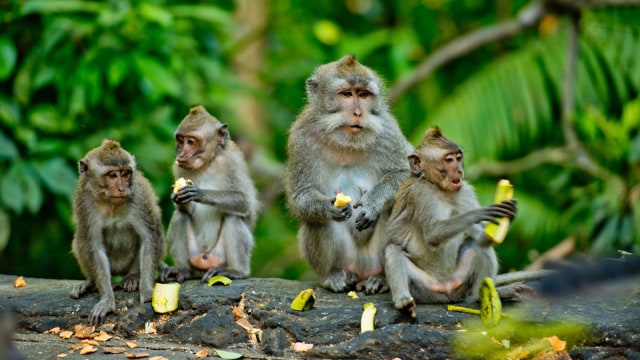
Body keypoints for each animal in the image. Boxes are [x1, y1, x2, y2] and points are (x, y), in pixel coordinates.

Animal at [70, 139, 165, 324]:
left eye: (126, 174)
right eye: (112, 175)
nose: (122, 188)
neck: (110, 203)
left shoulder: (139, 197)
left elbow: (149, 237)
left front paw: (147, 291)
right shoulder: (85, 202)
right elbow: (94, 247)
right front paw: (106, 301)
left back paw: (132, 278)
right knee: (81, 240)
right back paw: (90, 282)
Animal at [159, 105, 258, 282]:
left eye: (191, 141)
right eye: (180, 140)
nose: (181, 154)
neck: (207, 164)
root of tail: (205, 258)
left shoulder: (232, 161)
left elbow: (244, 201)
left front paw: (199, 193)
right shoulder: (178, 168)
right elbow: (182, 210)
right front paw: (177, 198)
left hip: (219, 255)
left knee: (233, 217)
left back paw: (235, 271)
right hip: (195, 255)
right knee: (180, 216)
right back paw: (183, 270)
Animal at [284, 54, 410, 294]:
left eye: (363, 94)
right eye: (346, 94)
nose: (358, 113)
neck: (346, 142)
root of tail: (362, 270)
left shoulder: (389, 131)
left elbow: (406, 175)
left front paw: (372, 203)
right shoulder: (301, 138)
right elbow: (301, 197)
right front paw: (329, 207)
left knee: (395, 207)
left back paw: (381, 278)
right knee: (315, 221)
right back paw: (334, 276)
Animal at [384, 127, 516, 318]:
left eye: (459, 157)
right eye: (449, 160)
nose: (459, 171)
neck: (438, 188)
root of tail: (446, 290)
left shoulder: (464, 190)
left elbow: (481, 238)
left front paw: (509, 214)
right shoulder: (420, 194)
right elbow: (432, 233)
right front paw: (479, 213)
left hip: (459, 282)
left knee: (476, 245)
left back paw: (480, 295)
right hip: (424, 288)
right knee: (392, 249)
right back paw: (403, 302)